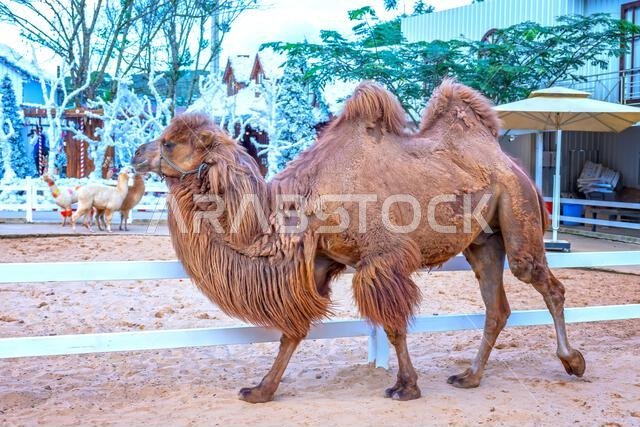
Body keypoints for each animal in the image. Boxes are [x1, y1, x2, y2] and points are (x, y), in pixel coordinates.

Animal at [131, 79, 585, 403]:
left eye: (169, 141)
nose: (136, 153)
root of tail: (507, 159)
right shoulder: (318, 262)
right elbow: (292, 331)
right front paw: (261, 390)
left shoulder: (381, 258)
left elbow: (394, 326)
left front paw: (406, 387)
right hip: (484, 241)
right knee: (497, 307)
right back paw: (470, 377)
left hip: (518, 209)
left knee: (545, 282)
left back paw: (573, 362)